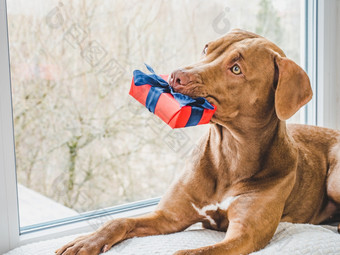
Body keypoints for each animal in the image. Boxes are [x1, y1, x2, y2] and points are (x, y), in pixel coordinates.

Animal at [56, 28, 340, 254]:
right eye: (207, 48)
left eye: (236, 69)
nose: (176, 75)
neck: (231, 152)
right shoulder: (169, 216)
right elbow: (119, 221)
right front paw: (87, 241)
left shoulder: (245, 235)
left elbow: (193, 252)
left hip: (335, 178)